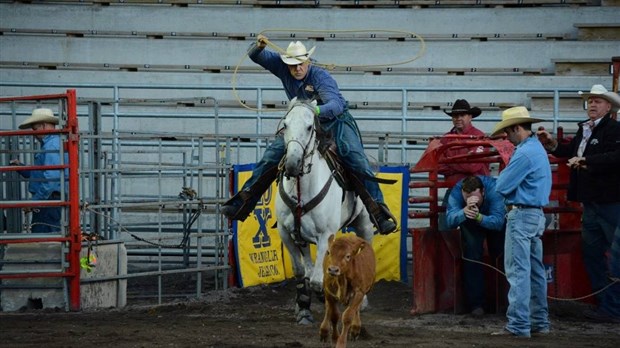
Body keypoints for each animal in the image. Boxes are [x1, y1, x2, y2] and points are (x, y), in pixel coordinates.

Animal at [276, 97, 372, 324]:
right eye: (285, 125)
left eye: (309, 127)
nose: (292, 163)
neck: (301, 189)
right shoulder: (286, 232)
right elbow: (301, 272)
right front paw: (303, 307)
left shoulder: (325, 234)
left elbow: (317, 280)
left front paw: (322, 295)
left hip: (364, 224)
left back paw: (360, 302)